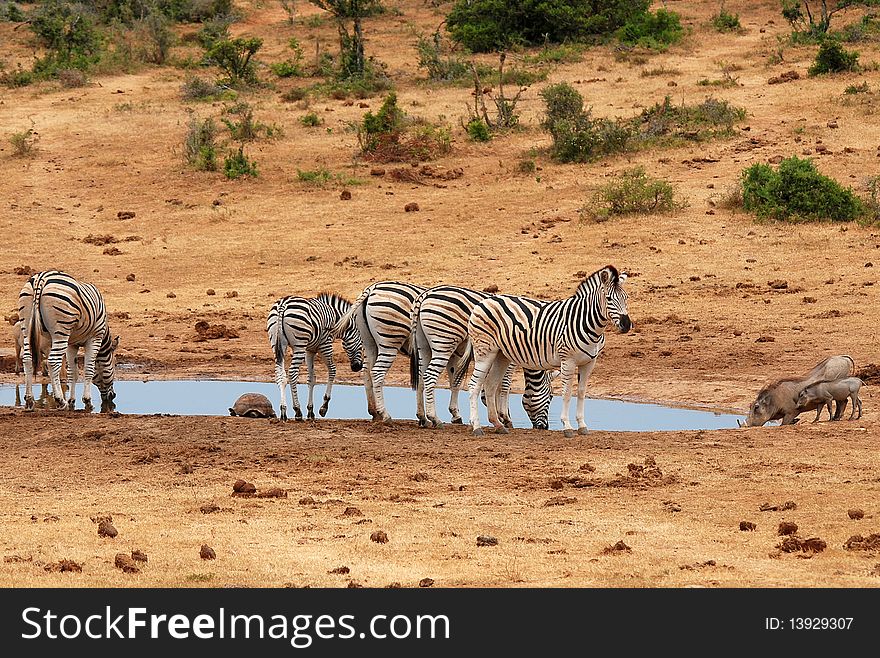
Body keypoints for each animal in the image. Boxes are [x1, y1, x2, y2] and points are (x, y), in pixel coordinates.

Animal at [18, 270, 118, 412]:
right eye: (114, 366)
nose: (113, 396)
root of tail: (41, 278)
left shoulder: (72, 344)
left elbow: (73, 373)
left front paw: (72, 401)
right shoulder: (95, 337)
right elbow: (88, 369)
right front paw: (87, 401)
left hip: (26, 327)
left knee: (27, 359)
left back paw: (29, 401)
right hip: (61, 330)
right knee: (53, 362)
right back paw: (60, 401)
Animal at [268, 292, 364, 420]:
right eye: (362, 344)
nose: (357, 367)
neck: (337, 320)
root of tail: (283, 304)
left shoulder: (310, 350)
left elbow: (311, 378)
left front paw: (310, 411)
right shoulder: (325, 344)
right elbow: (332, 370)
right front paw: (324, 407)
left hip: (277, 344)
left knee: (280, 375)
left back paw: (283, 411)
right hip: (299, 345)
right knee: (292, 373)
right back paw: (297, 410)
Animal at [334, 280, 426, 422]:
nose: (354, 367)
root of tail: (371, 289)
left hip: (370, 343)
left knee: (366, 372)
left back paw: (374, 412)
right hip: (389, 340)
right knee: (377, 372)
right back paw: (385, 415)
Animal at [408, 284, 556, 428]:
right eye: (551, 396)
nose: (545, 427)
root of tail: (426, 294)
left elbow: (493, 385)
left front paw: (497, 414)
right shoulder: (509, 357)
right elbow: (504, 385)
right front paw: (505, 416)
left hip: (424, 346)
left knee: (421, 377)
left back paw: (423, 417)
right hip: (444, 342)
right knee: (429, 376)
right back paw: (435, 419)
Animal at [464, 264, 628, 438]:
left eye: (626, 298)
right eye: (609, 299)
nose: (626, 324)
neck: (586, 322)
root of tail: (484, 302)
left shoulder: (590, 362)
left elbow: (582, 392)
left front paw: (582, 426)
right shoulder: (567, 361)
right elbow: (567, 393)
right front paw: (567, 427)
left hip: (501, 355)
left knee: (490, 384)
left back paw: (498, 425)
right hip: (484, 351)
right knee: (474, 385)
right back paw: (476, 427)